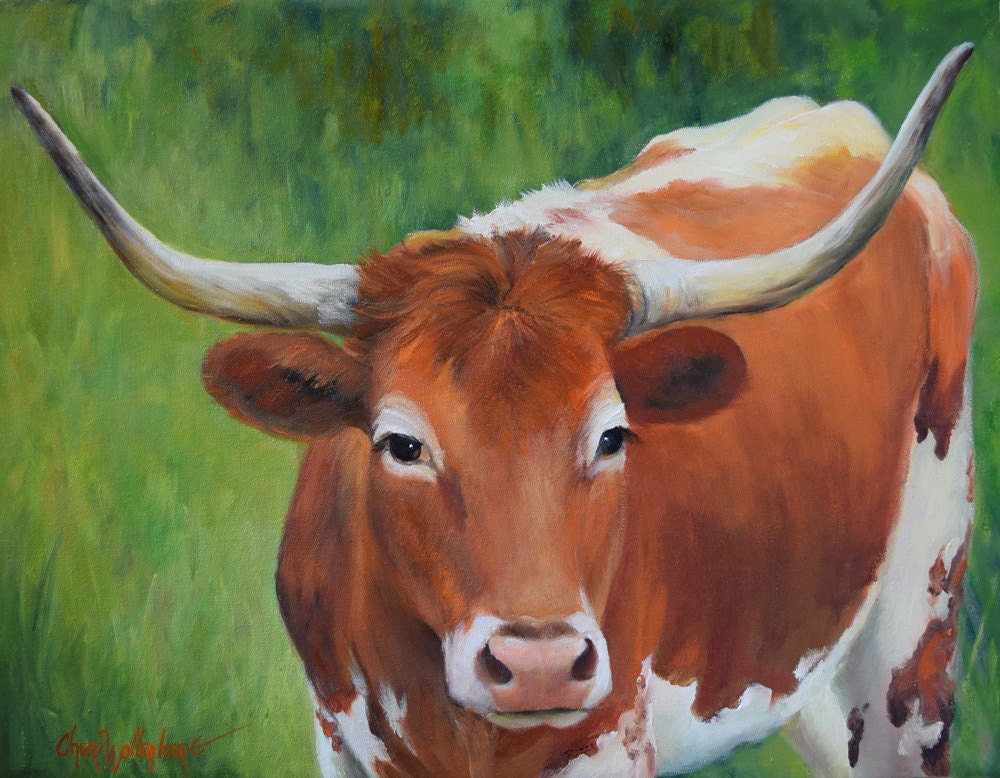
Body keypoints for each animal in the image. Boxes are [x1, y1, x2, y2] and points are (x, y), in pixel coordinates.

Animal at [13, 42, 977, 778]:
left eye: (613, 435)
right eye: (400, 443)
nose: (539, 664)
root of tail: (834, 120)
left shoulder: (611, 743)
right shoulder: (339, 743)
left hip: (910, 657)